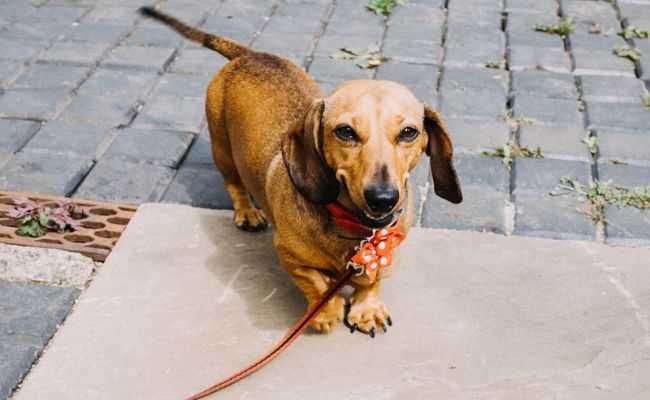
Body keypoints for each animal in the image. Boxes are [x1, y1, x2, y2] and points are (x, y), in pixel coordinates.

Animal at [140, 7, 460, 336]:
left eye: (409, 132)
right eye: (345, 131)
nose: (382, 199)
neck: (355, 232)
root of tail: (249, 54)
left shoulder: (387, 253)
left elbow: (371, 282)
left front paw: (366, 309)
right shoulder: (288, 255)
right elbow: (315, 282)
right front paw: (325, 310)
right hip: (222, 148)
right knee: (234, 184)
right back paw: (247, 213)